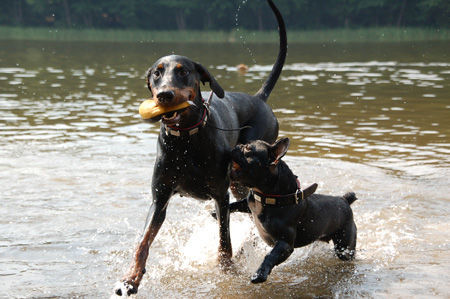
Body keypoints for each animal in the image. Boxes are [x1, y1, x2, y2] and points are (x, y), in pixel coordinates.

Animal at [114, 0, 286, 296]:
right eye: (157, 73)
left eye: (183, 71)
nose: (165, 95)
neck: (185, 140)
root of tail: (259, 98)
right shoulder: (160, 198)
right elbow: (143, 242)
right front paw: (131, 277)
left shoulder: (220, 194)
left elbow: (224, 240)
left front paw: (227, 270)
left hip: (244, 177)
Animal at [229, 138, 358, 284]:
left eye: (248, 149)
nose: (238, 145)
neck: (268, 196)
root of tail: (344, 199)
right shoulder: (249, 203)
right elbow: (236, 204)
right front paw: (217, 213)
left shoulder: (285, 244)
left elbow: (270, 255)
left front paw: (259, 274)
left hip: (345, 245)